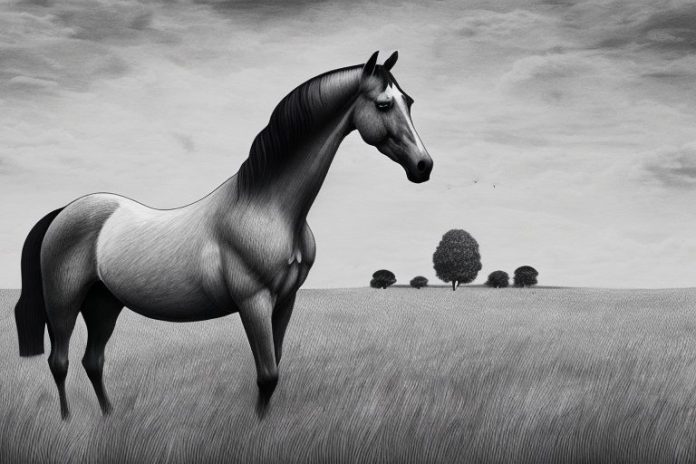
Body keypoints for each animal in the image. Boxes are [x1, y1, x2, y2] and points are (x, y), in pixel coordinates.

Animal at [14, 51, 433, 420]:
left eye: (409, 101)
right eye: (383, 105)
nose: (424, 166)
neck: (266, 207)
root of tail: (63, 213)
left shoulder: (285, 301)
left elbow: (276, 366)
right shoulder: (254, 301)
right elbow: (268, 375)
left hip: (104, 304)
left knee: (93, 362)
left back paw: (108, 415)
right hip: (65, 303)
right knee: (60, 361)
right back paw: (68, 421)